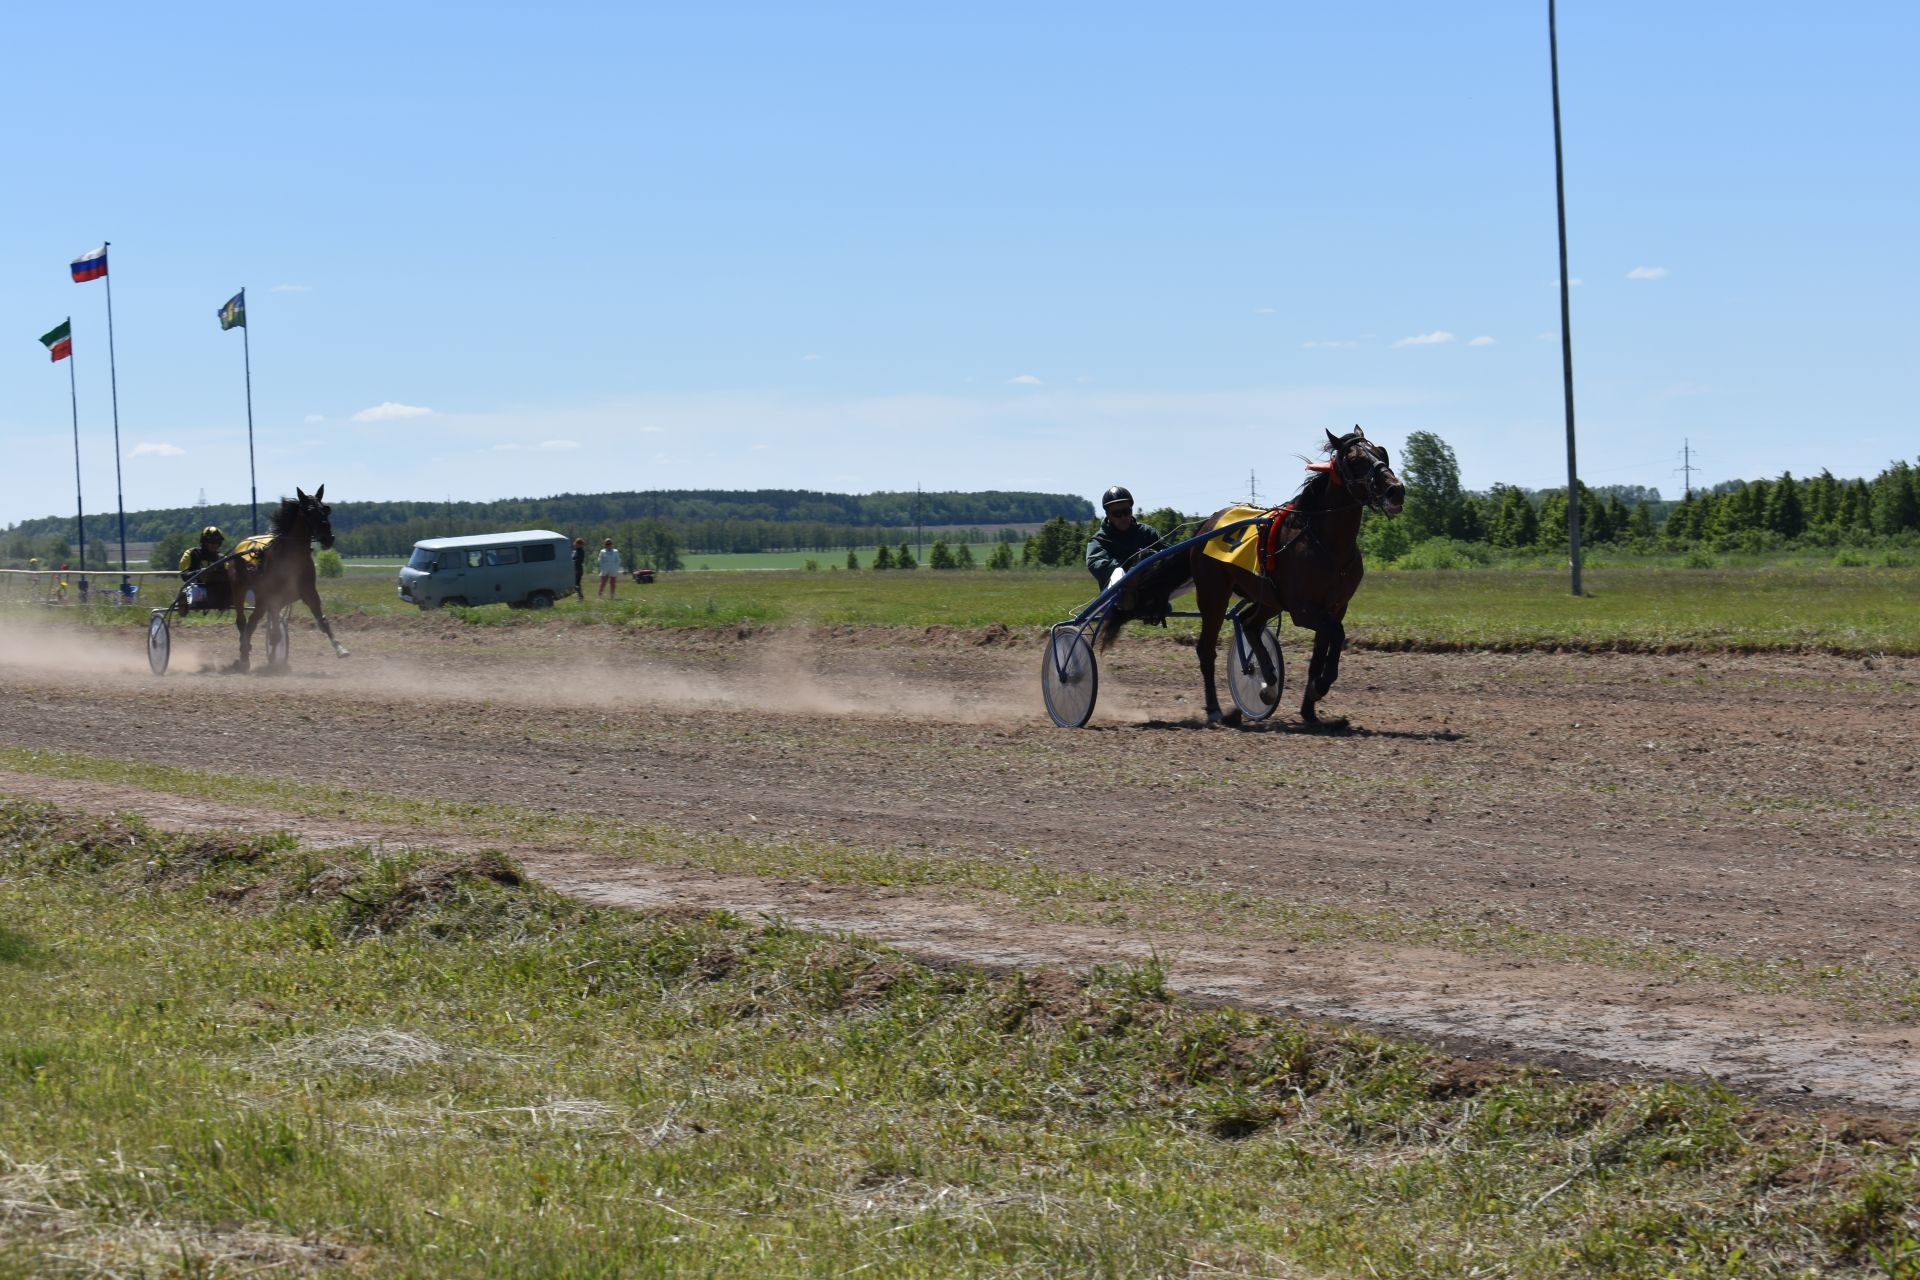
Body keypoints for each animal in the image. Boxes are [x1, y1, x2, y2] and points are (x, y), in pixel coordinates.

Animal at [226, 485, 351, 675]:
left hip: (262, 600)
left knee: (254, 623)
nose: (328, 538)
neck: (291, 558)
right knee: (243, 622)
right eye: (309, 511)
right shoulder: (272, 598)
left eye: (326, 509)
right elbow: (270, 631)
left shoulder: (307, 592)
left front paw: (340, 649)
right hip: (240, 589)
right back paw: (244, 658)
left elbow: (321, 621)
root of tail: (238, 547)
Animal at [1105, 429, 1405, 729]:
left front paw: (1311, 710)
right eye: (1355, 459)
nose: (1396, 490)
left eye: (1382, 452)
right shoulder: (1303, 610)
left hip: (1268, 598)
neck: (1326, 544)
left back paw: (1268, 680)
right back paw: (1215, 709)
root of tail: (1204, 527)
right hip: (1214, 595)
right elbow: (1337, 635)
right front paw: (1319, 687)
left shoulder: (1335, 607)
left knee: (1248, 623)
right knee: (1207, 649)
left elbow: (1322, 650)